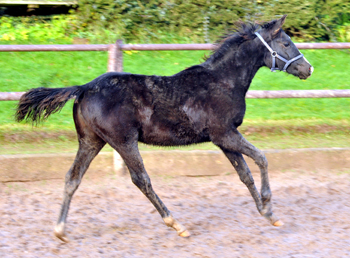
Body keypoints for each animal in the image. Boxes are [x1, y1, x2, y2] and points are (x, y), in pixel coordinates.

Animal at [15, 15, 314, 242]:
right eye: (286, 42)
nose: (308, 68)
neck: (222, 81)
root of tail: (84, 87)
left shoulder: (222, 139)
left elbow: (245, 174)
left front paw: (267, 214)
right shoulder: (225, 133)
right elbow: (261, 159)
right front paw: (269, 207)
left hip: (91, 141)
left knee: (72, 178)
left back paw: (60, 231)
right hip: (123, 141)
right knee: (141, 180)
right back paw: (176, 224)